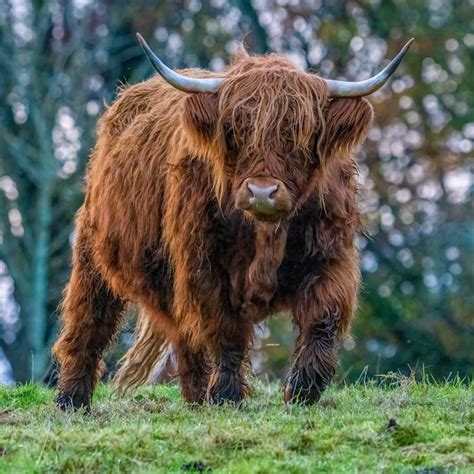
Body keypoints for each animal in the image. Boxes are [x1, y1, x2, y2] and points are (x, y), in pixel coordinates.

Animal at [51, 34, 412, 412]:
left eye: (298, 134)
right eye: (236, 130)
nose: (262, 192)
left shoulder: (331, 257)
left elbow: (322, 319)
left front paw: (303, 390)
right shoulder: (205, 267)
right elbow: (225, 331)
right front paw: (227, 395)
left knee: (184, 337)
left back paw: (196, 399)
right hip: (94, 254)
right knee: (89, 321)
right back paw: (71, 400)